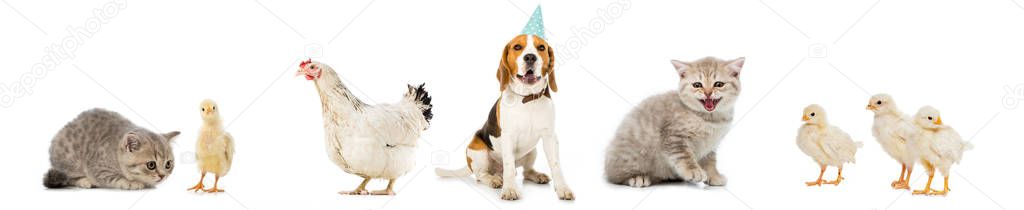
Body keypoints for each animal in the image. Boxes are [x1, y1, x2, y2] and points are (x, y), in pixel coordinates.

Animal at [43, 108, 179, 190]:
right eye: (151, 165)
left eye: (168, 164)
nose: (162, 175)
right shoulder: (99, 168)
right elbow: (115, 177)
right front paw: (131, 182)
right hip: (70, 162)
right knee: (69, 178)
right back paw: (84, 181)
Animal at [434, 34, 577, 199]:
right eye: (517, 47)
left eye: (541, 47)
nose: (530, 57)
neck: (527, 98)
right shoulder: (508, 137)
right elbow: (508, 163)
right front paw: (509, 189)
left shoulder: (550, 137)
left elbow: (556, 165)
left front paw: (563, 188)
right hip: (478, 151)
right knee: (482, 175)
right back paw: (494, 180)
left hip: (532, 151)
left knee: (525, 172)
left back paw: (535, 176)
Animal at [598, 55, 745, 187]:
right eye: (697, 85)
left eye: (718, 84)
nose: (708, 93)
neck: (709, 119)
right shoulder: (674, 137)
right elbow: (684, 156)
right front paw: (694, 171)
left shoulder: (710, 147)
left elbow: (710, 161)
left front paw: (713, 175)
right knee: (616, 177)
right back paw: (637, 177)